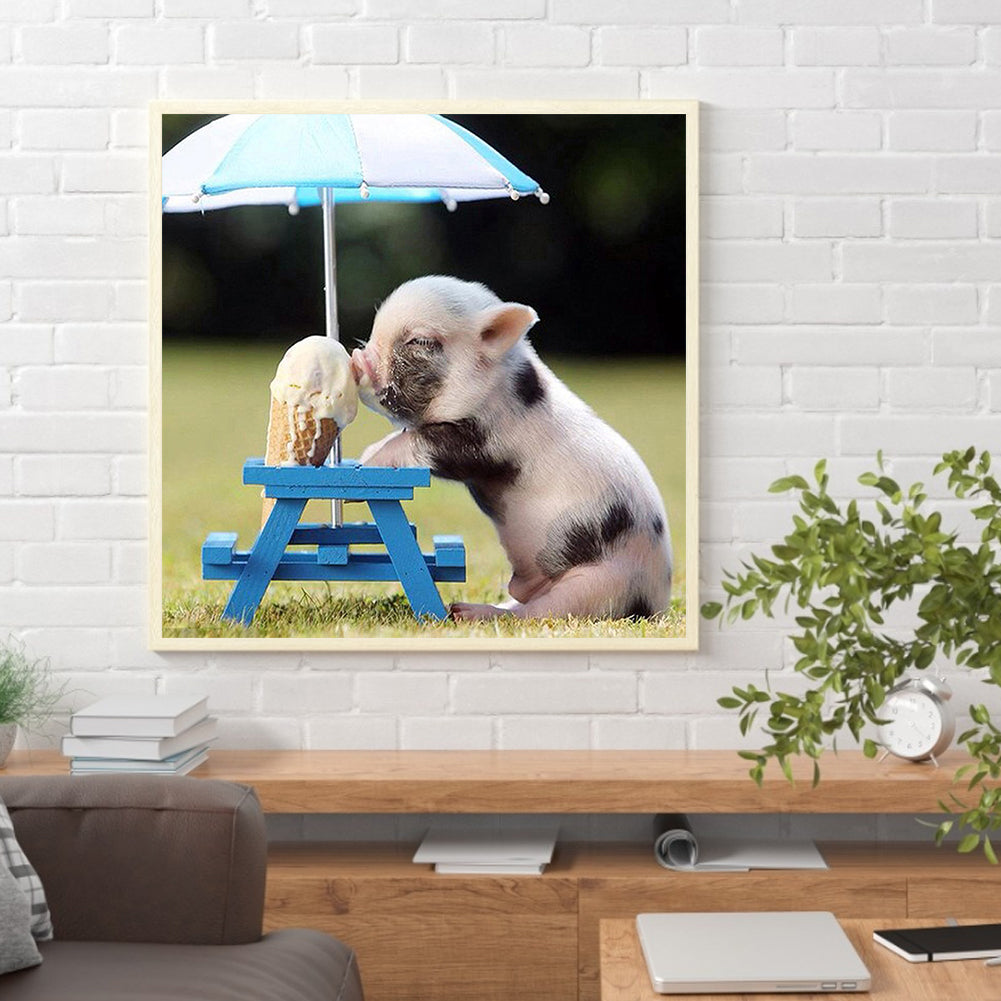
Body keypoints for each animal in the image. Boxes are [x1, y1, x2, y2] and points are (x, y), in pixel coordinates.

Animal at [350, 275, 672, 621]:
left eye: (420, 341)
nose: (357, 359)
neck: (496, 386)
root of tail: (657, 602)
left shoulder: (486, 442)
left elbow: (422, 441)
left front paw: (367, 463)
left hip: (600, 585)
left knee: (539, 612)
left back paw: (464, 612)